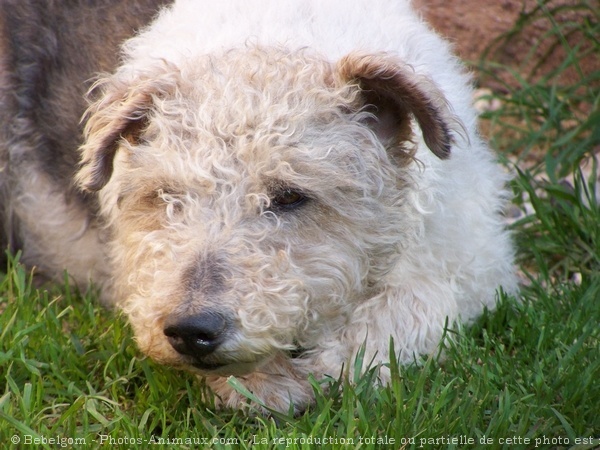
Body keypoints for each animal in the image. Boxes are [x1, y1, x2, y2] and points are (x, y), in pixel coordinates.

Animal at [0, 0, 516, 414]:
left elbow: (405, 311)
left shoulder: (475, 267)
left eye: (290, 196)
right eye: (167, 197)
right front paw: (265, 386)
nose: (191, 331)